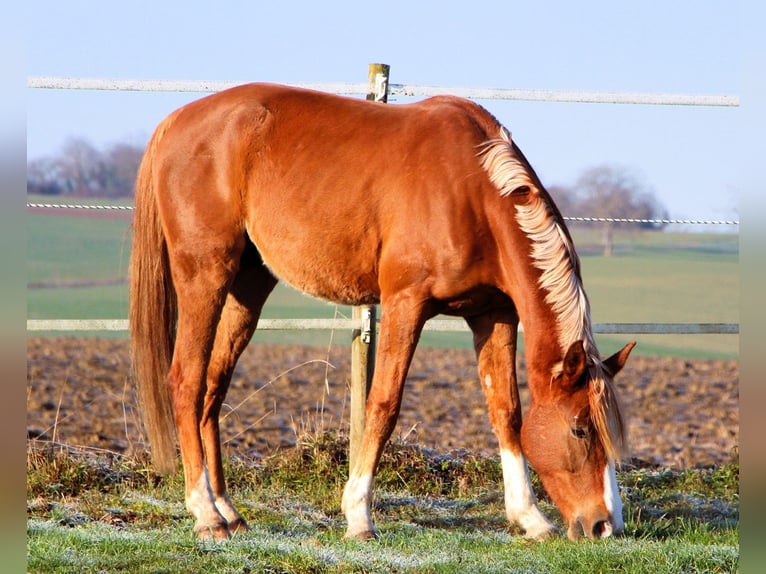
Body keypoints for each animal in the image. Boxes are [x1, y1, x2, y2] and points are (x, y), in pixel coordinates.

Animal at [129, 83, 635, 542]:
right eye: (581, 431)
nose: (604, 525)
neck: (470, 188)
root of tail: (176, 121)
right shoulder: (405, 305)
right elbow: (383, 404)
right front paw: (358, 517)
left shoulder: (495, 314)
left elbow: (506, 410)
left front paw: (529, 518)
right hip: (205, 275)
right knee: (187, 380)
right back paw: (206, 514)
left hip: (249, 285)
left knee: (213, 387)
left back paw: (228, 510)